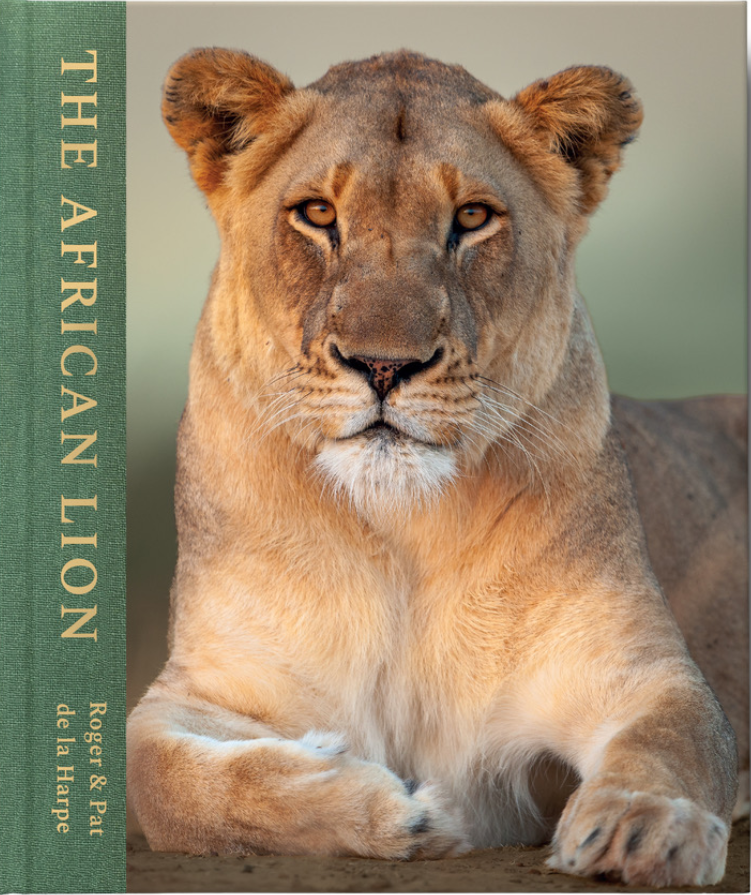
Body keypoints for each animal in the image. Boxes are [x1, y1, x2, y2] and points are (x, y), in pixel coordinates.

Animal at [127, 49, 748, 887]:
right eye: (317, 214)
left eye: (473, 218)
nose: (384, 364)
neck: (401, 534)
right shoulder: (199, 686)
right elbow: (166, 780)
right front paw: (391, 809)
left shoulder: (641, 672)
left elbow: (675, 739)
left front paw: (645, 826)